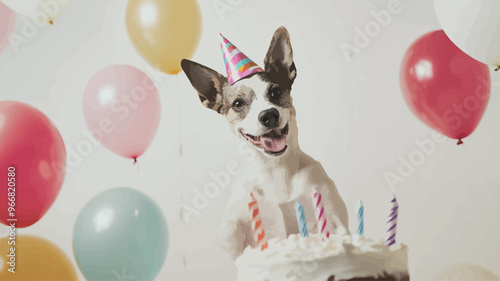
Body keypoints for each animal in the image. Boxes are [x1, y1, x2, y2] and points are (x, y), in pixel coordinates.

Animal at [182, 26, 350, 258]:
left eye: (275, 91)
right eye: (238, 104)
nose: (269, 115)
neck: (275, 169)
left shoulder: (329, 211)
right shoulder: (232, 230)